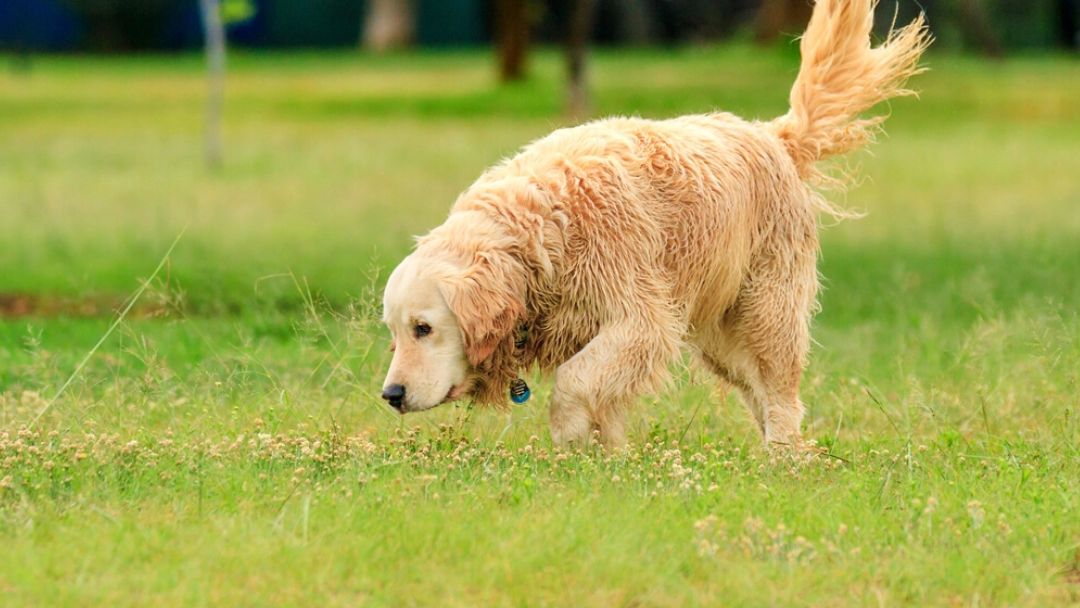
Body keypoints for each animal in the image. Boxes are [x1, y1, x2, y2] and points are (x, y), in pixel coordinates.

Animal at [380, 0, 928, 447]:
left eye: (424, 328)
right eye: (396, 332)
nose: (391, 394)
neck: (540, 233)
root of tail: (773, 135)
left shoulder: (641, 321)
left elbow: (574, 383)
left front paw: (570, 439)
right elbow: (602, 402)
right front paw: (607, 460)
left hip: (766, 313)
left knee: (780, 395)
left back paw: (785, 460)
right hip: (722, 341)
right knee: (759, 393)